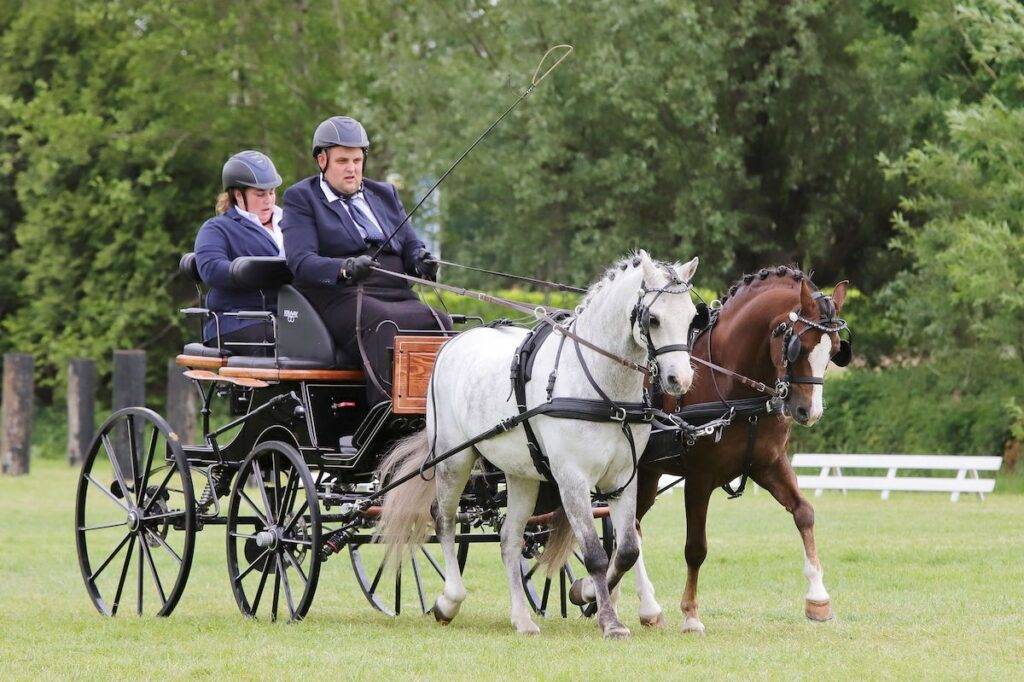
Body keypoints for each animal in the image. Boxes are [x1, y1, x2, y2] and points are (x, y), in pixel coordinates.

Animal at [376, 251, 702, 638]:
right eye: (653, 318)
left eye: (691, 318)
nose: (679, 379)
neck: (602, 388)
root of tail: (453, 342)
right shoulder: (572, 478)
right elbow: (594, 553)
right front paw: (609, 621)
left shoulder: (623, 478)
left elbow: (626, 550)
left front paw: (589, 594)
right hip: (454, 459)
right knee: (444, 519)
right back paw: (448, 601)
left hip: (522, 474)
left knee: (509, 538)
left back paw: (522, 618)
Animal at [569, 267, 850, 631]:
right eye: (797, 347)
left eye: (834, 350)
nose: (809, 412)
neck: (732, 385)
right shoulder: (699, 478)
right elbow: (696, 547)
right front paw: (690, 614)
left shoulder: (769, 464)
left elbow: (804, 513)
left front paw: (818, 598)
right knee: (630, 529)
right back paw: (632, 601)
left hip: (644, 473)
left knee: (631, 529)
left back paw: (627, 602)